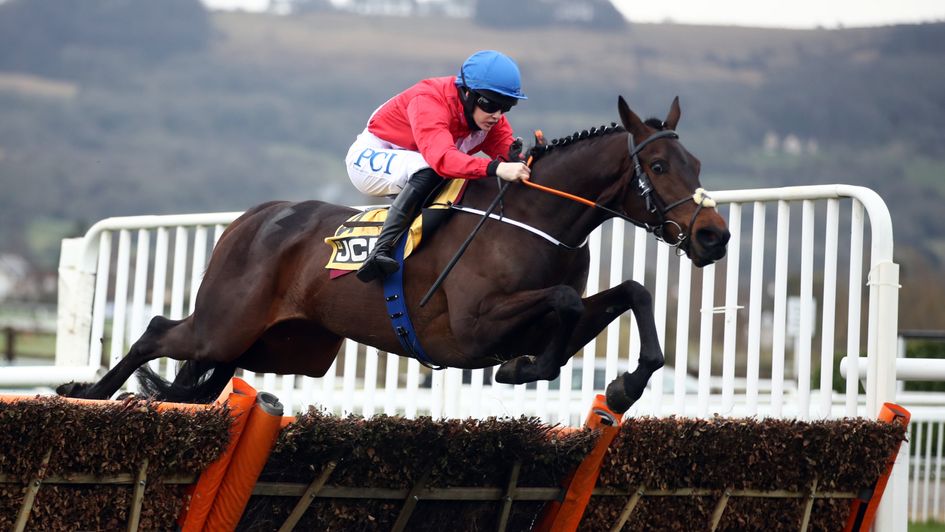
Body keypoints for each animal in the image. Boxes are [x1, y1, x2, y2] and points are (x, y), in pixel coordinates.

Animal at [57, 96, 732, 416]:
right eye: (658, 165)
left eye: (698, 163)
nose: (713, 237)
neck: (538, 219)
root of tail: (252, 220)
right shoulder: (471, 327)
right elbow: (565, 300)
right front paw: (523, 368)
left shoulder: (543, 316)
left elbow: (628, 295)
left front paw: (620, 386)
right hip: (225, 324)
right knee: (155, 328)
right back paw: (87, 390)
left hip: (285, 347)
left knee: (197, 380)